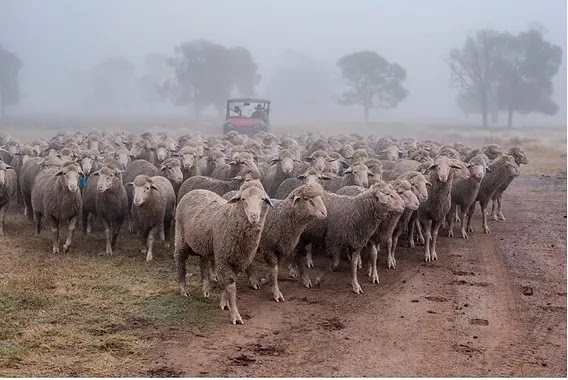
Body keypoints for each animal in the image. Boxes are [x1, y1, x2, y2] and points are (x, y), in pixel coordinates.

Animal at [175, 181, 276, 324]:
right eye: (243, 199)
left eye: (262, 199)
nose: (254, 217)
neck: (231, 218)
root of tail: (195, 190)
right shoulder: (223, 257)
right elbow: (231, 287)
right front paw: (235, 315)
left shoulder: (236, 260)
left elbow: (226, 284)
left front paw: (224, 303)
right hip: (181, 237)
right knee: (180, 261)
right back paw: (183, 290)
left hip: (204, 243)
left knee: (203, 262)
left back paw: (205, 289)